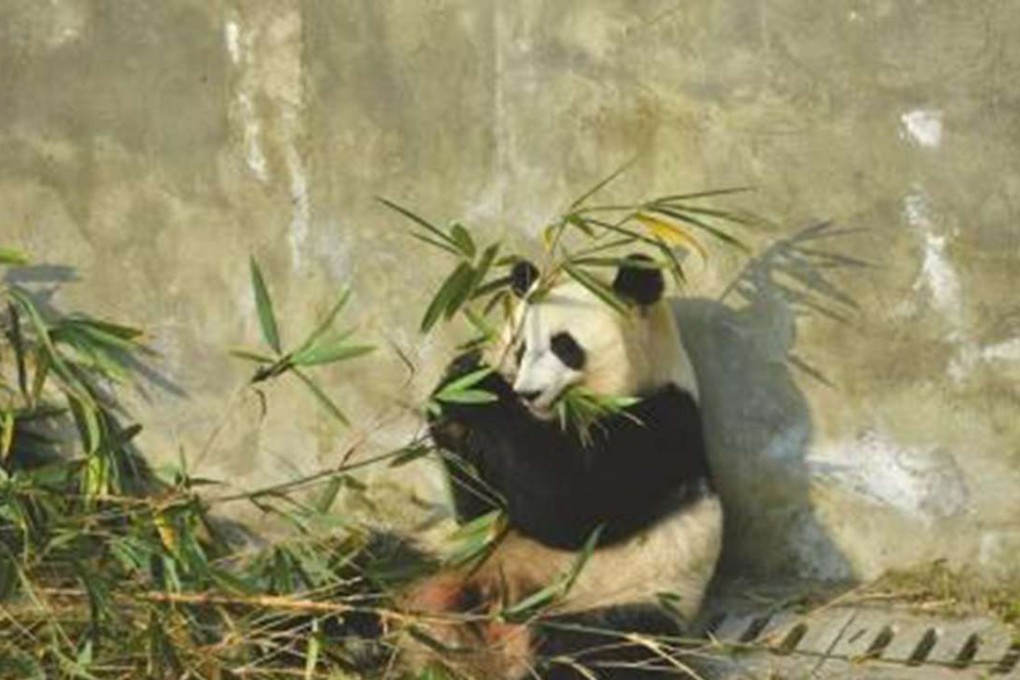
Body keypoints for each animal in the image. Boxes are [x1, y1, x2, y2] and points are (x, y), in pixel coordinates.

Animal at [401, 255, 723, 679]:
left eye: (564, 346)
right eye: (521, 349)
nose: (528, 393)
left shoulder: (660, 425)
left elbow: (570, 507)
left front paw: (484, 388)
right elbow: (482, 515)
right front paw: (458, 385)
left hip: (623, 602)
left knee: (592, 654)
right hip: (449, 560)